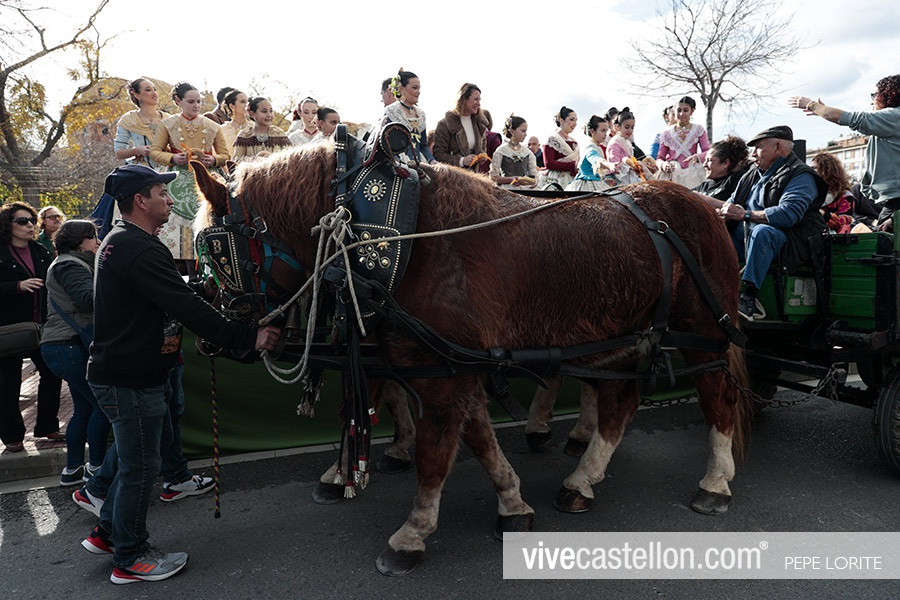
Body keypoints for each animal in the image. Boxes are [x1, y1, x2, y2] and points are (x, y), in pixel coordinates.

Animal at [192, 140, 748, 576]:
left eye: (218, 251)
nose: (220, 337)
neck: (398, 238)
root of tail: (703, 204)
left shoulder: (445, 376)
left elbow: (435, 453)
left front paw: (412, 532)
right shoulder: (452, 363)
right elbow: (475, 438)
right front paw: (511, 501)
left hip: (704, 330)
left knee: (716, 395)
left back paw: (716, 481)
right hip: (624, 336)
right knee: (619, 403)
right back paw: (582, 477)